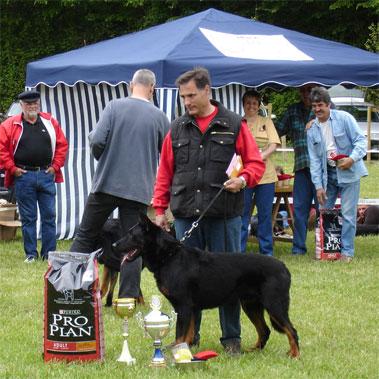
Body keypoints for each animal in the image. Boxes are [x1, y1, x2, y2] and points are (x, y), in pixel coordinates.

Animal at [113, 214, 300, 360]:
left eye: (131, 235)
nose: (114, 245)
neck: (169, 256)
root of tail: (284, 267)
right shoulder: (190, 308)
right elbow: (188, 334)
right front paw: (185, 353)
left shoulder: (184, 306)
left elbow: (180, 334)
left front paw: (178, 354)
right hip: (251, 305)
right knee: (265, 330)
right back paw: (253, 351)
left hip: (274, 305)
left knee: (291, 330)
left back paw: (295, 355)